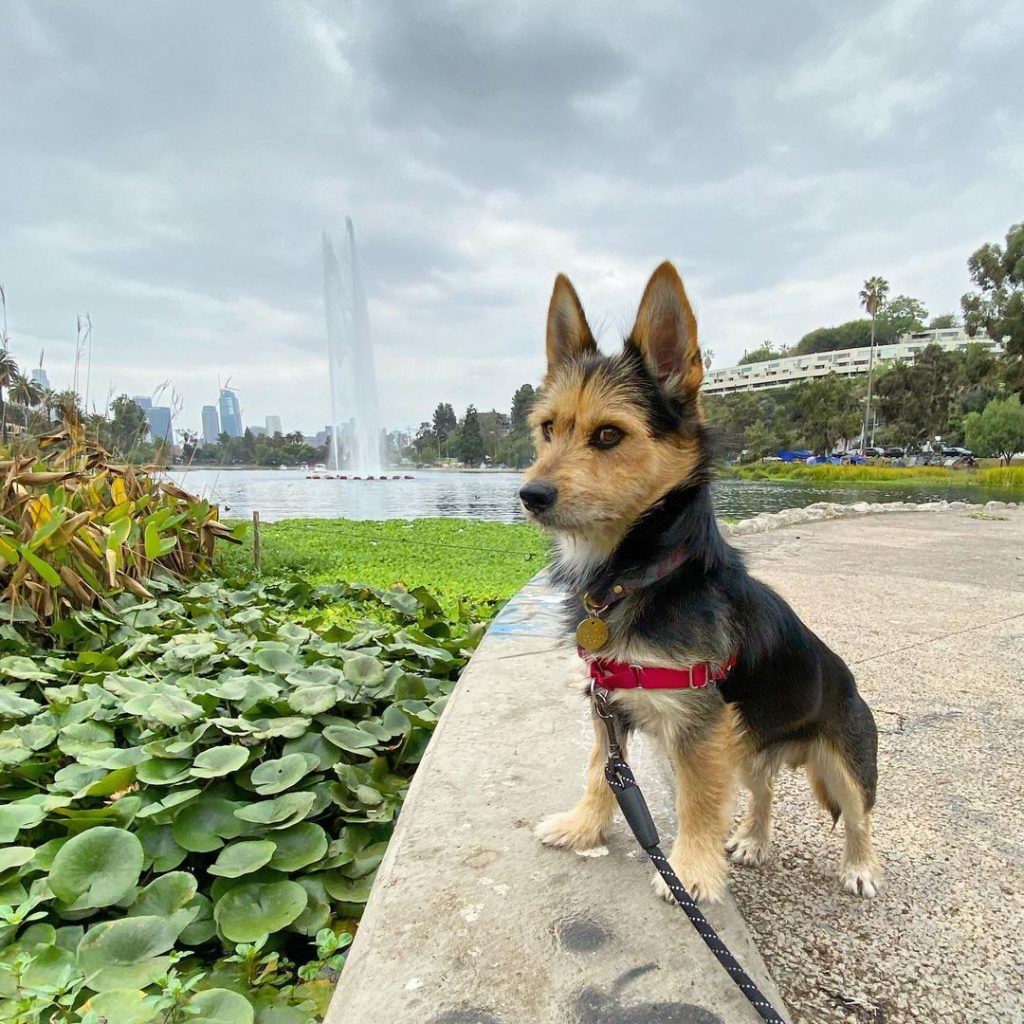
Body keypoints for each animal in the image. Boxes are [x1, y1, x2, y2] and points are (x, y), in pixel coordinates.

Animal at [520, 262, 880, 905]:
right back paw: (754, 840)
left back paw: (861, 866)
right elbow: (600, 773)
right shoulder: (608, 709)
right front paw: (584, 826)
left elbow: (697, 802)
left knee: (859, 815)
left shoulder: (701, 730)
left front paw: (689, 871)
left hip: (844, 759)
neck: (641, 574)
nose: (530, 495)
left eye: (608, 435)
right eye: (548, 429)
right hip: (750, 742)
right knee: (763, 791)